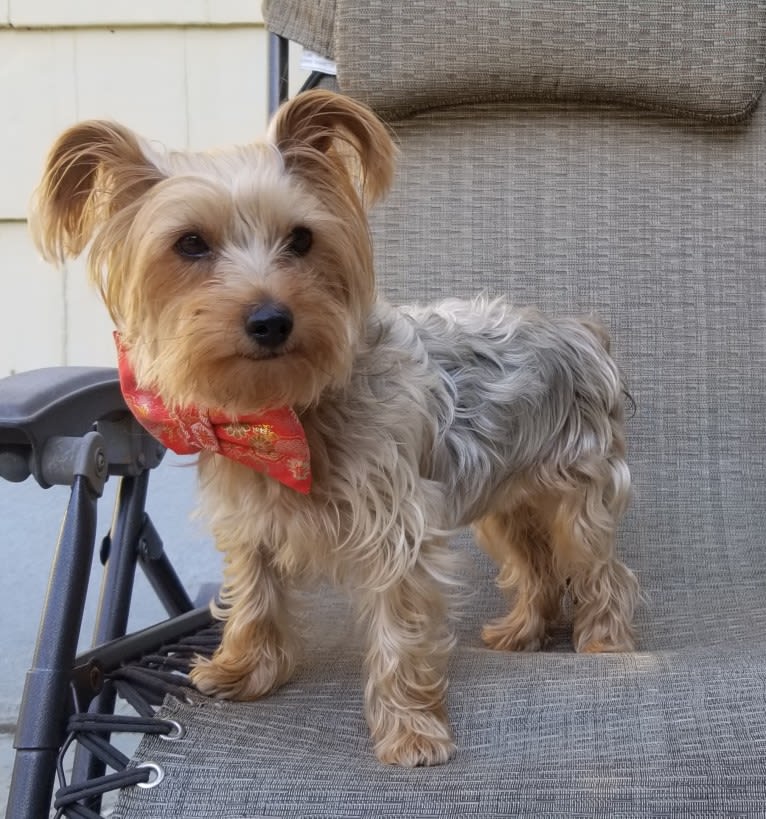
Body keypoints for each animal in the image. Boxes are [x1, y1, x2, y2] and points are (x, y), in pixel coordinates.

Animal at [30, 89, 640, 768]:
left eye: (301, 238)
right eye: (189, 244)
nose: (271, 319)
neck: (285, 409)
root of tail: (579, 332)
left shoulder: (398, 525)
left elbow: (401, 629)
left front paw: (411, 732)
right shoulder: (250, 512)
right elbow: (254, 594)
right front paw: (243, 671)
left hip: (577, 490)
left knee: (600, 569)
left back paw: (605, 643)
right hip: (504, 497)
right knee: (534, 568)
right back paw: (520, 632)